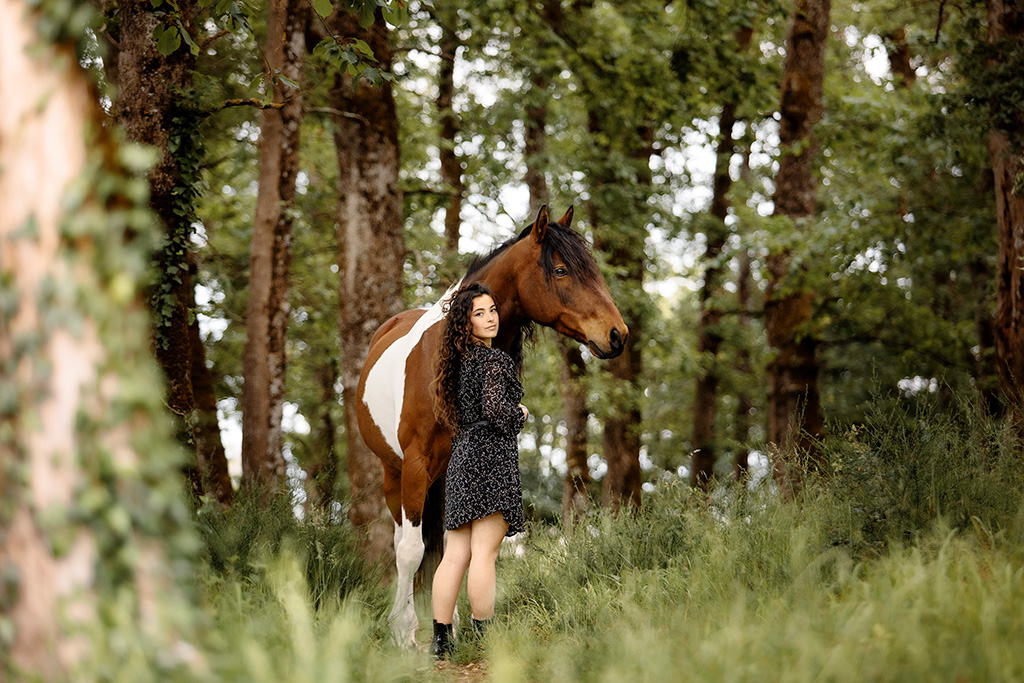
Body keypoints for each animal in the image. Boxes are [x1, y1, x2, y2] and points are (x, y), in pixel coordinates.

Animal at [356, 204, 626, 647]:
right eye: (562, 270)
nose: (617, 334)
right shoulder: (414, 466)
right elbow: (410, 551)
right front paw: (404, 631)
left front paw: (452, 623)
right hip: (392, 473)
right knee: (403, 542)